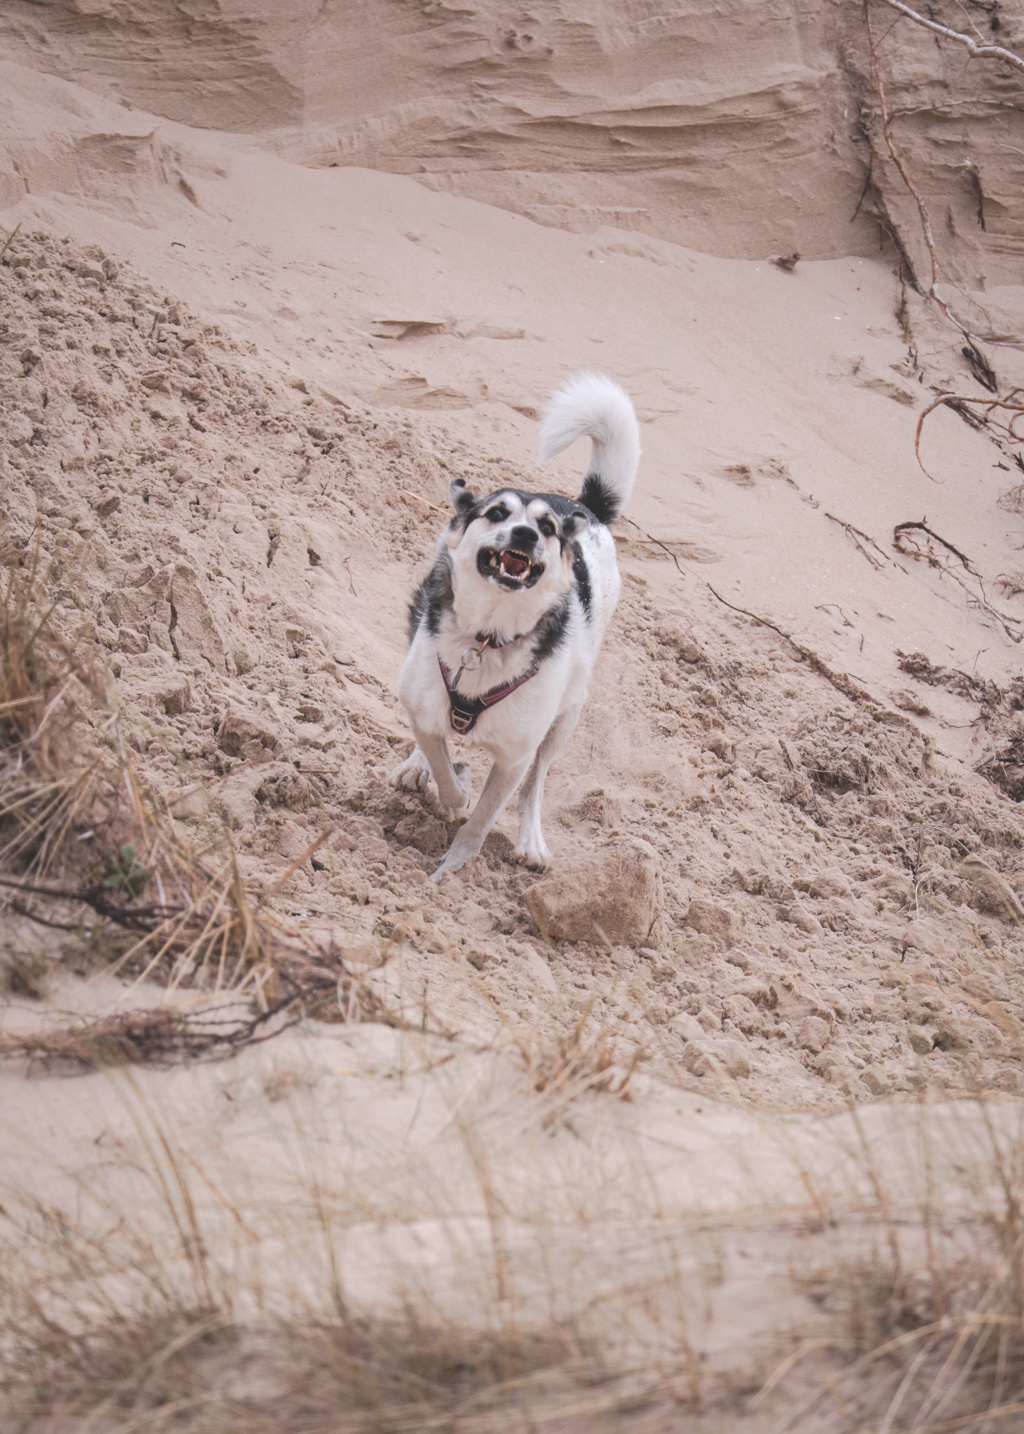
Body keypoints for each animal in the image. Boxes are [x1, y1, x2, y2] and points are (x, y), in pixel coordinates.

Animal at [387, 369, 633, 877]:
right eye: (497, 513)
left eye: (547, 529)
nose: (524, 534)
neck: (489, 636)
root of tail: (583, 508)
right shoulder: (425, 701)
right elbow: (445, 771)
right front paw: (452, 783)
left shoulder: (515, 758)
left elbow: (482, 819)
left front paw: (451, 870)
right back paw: (416, 766)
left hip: (566, 715)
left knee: (537, 782)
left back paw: (531, 839)